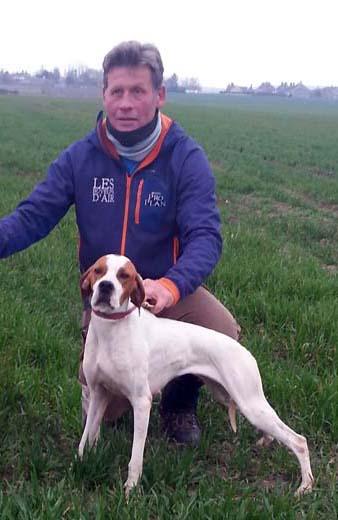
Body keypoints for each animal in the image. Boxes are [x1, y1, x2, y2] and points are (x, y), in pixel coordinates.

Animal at [78, 254, 312, 498]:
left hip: (250, 404)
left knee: (299, 441)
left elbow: (136, 457)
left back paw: (305, 486)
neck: (111, 330)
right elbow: (87, 437)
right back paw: (267, 441)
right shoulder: (98, 393)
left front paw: (131, 489)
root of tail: (247, 353)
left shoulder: (141, 403)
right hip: (233, 398)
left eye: (124, 275)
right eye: (98, 271)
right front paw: (82, 462)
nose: (106, 286)